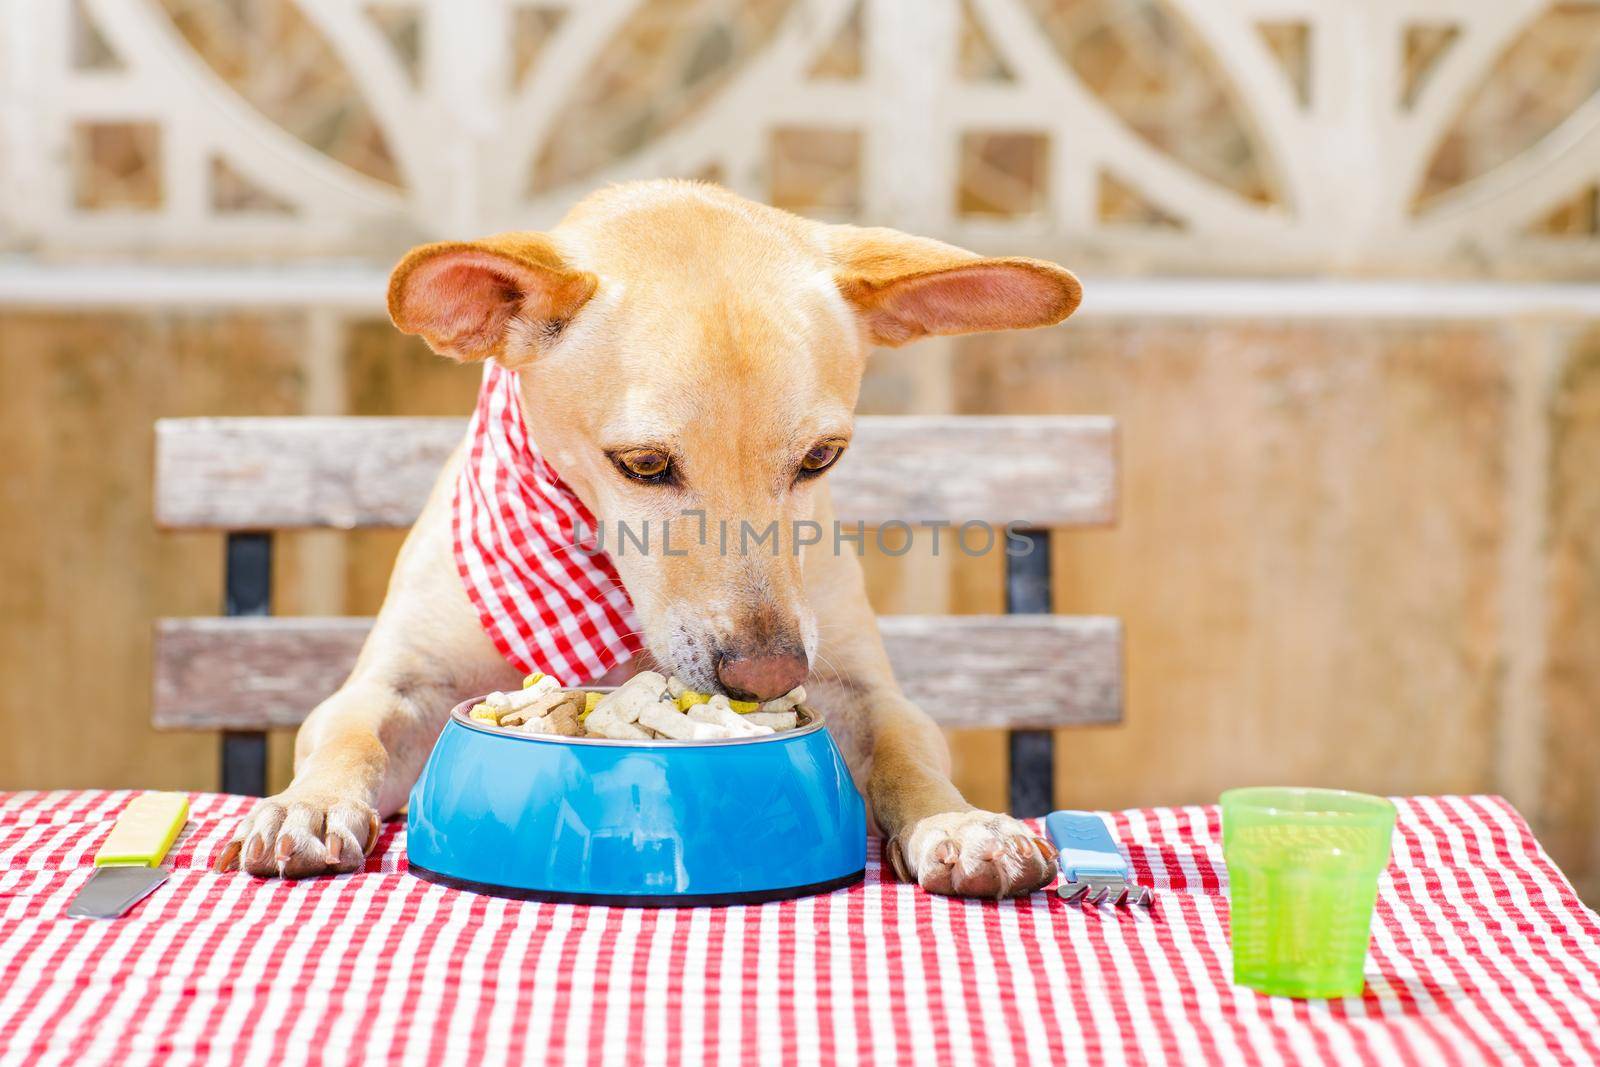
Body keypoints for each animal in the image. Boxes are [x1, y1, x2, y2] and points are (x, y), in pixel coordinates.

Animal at [219, 179, 1081, 895]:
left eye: (820, 457)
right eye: (642, 464)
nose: (768, 675)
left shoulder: (864, 692)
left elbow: (909, 747)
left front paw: (957, 820)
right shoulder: (395, 685)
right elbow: (350, 734)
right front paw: (309, 802)